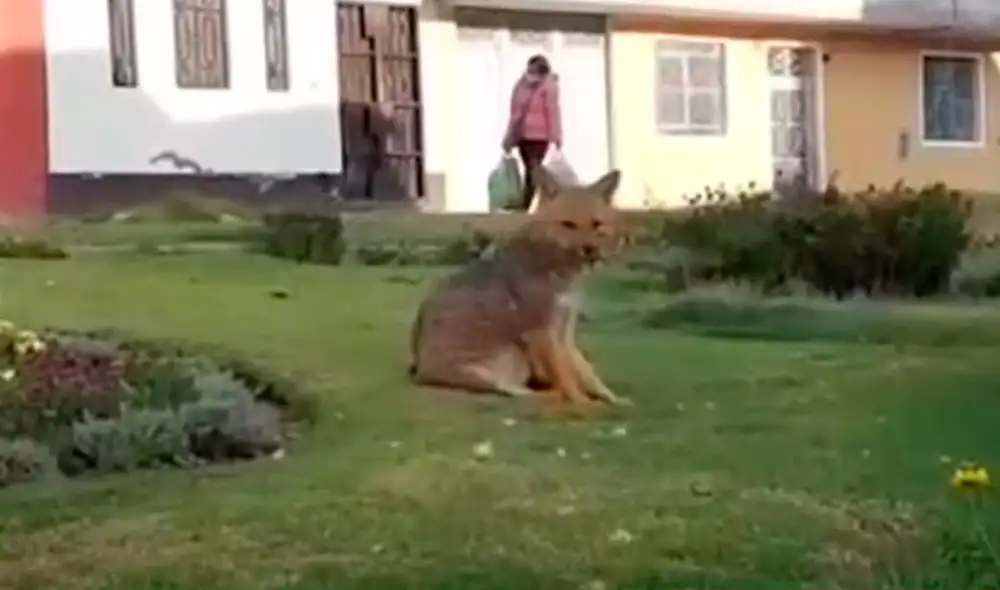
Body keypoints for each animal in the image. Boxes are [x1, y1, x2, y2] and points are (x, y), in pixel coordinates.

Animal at [408, 166, 631, 411]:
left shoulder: (563, 332)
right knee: (521, 393)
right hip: (509, 360)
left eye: (596, 224)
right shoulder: (542, 332)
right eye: (568, 224)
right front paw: (584, 405)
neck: (558, 272)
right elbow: (567, 377)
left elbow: (586, 373)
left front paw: (612, 399)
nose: (589, 250)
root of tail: (418, 371)